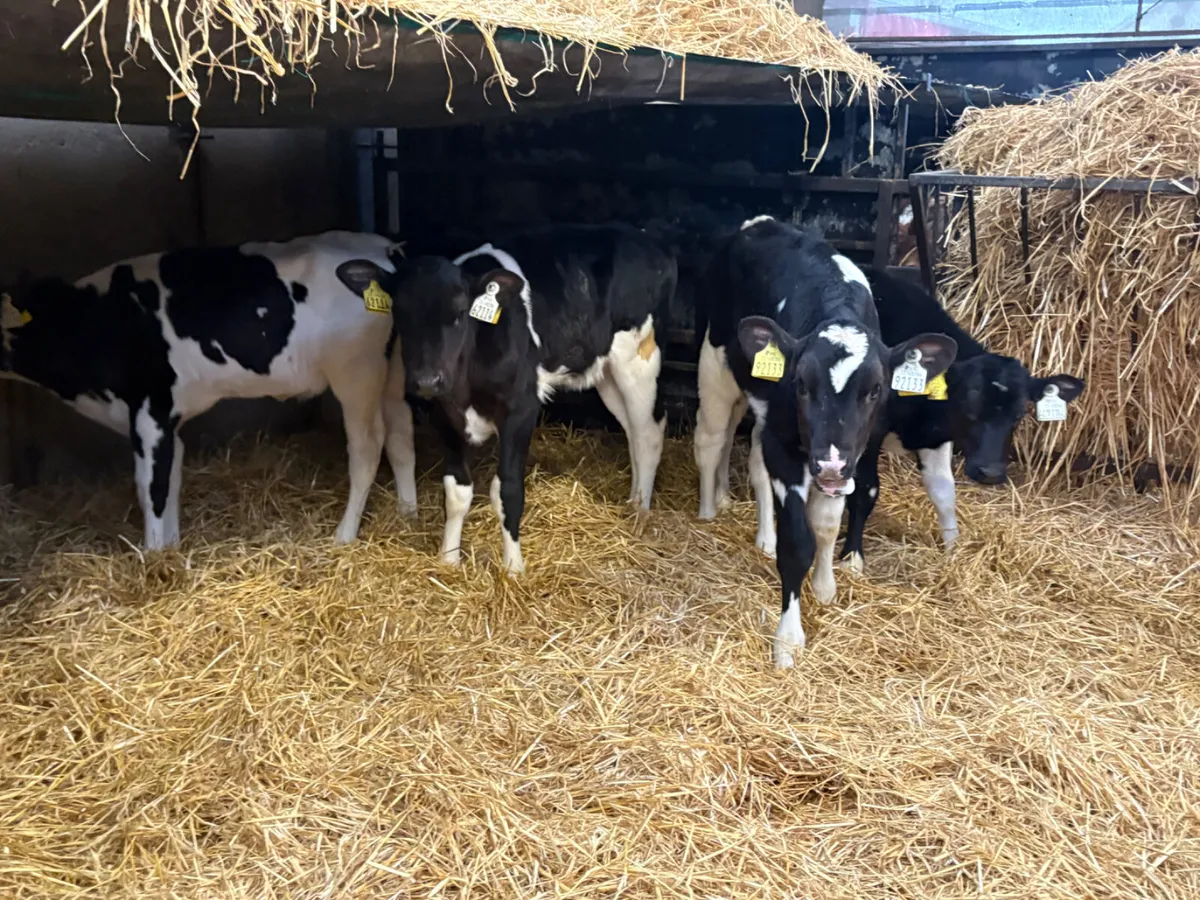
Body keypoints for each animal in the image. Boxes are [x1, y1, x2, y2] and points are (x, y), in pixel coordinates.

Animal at [0, 231, 417, 550]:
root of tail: (386, 249)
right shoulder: (166, 420)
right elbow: (171, 479)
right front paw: (171, 548)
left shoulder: (150, 410)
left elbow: (151, 487)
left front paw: (153, 559)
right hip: (393, 374)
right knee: (401, 437)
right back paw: (407, 513)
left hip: (357, 374)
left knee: (367, 447)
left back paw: (344, 534)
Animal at [333, 224, 677, 574]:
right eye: (398, 312)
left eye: (460, 314)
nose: (427, 380)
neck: (466, 384)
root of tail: (647, 239)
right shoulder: (444, 414)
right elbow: (456, 490)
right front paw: (449, 558)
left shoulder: (521, 409)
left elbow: (508, 489)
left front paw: (513, 567)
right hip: (605, 370)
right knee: (632, 431)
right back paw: (633, 499)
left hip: (640, 357)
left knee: (649, 433)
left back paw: (640, 512)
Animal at [693, 217, 957, 667]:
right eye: (801, 384)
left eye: (875, 390)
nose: (829, 465)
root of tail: (760, 223)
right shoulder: (787, 447)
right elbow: (797, 542)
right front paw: (787, 640)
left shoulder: (848, 456)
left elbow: (827, 525)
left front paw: (825, 585)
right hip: (715, 365)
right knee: (712, 438)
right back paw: (710, 509)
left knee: (752, 461)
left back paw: (759, 533)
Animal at [839, 269, 1085, 571]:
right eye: (970, 405)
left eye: (1019, 413)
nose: (990, 473)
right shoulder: (867, 433)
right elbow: (864, 490)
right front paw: (852, 560)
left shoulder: (935, 438)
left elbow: (944, 491)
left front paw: (954, 550)